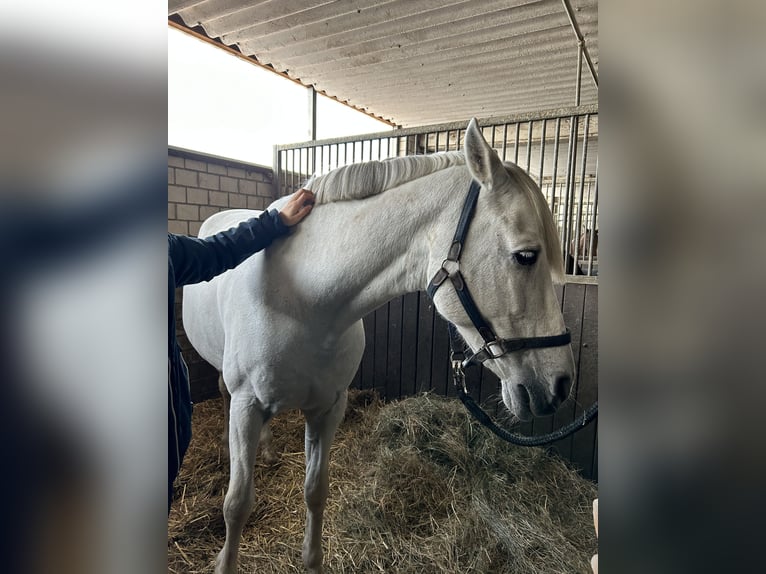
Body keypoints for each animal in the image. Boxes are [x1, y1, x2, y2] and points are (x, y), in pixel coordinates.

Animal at [182, 119, 576, 574]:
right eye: (526, 255)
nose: (561, 384)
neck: (303, 299)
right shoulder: (247, 406)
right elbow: (237, 505)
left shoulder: (328, 408)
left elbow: (315, 490)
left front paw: (312, 561)